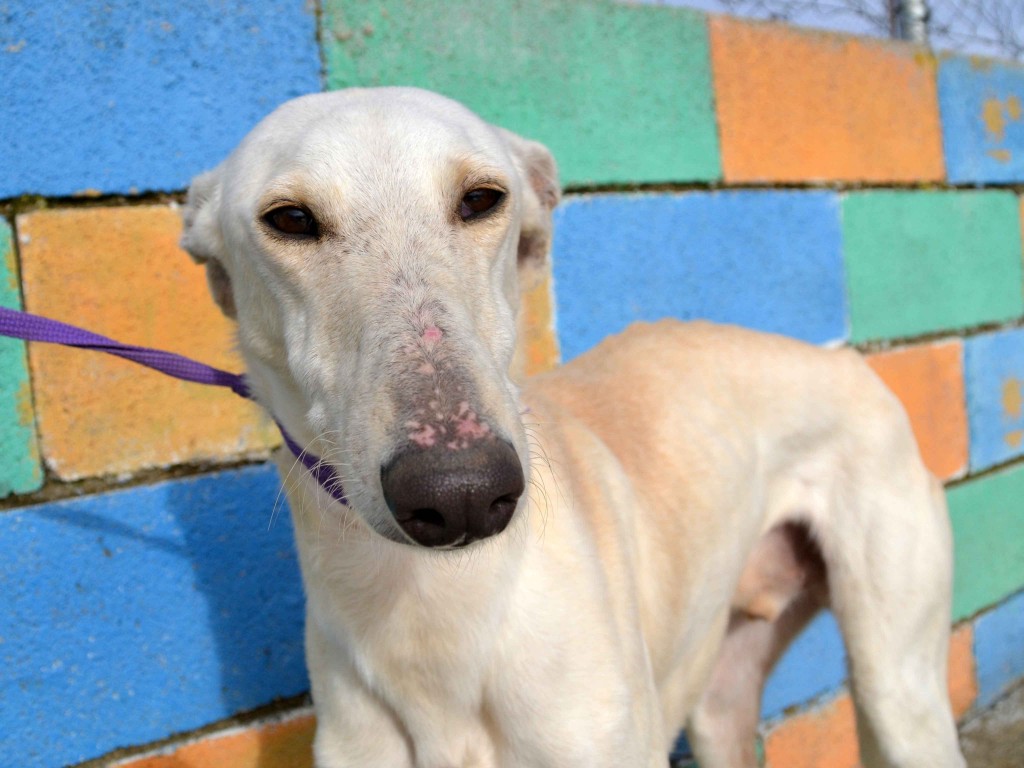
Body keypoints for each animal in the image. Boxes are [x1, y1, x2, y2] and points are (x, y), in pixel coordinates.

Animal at [182, 87, 966, 765]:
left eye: (481, 199)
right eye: (289, 219)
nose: (462, 492)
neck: (435, 619)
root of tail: (848, 362)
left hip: (899, 685)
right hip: (721, 699)